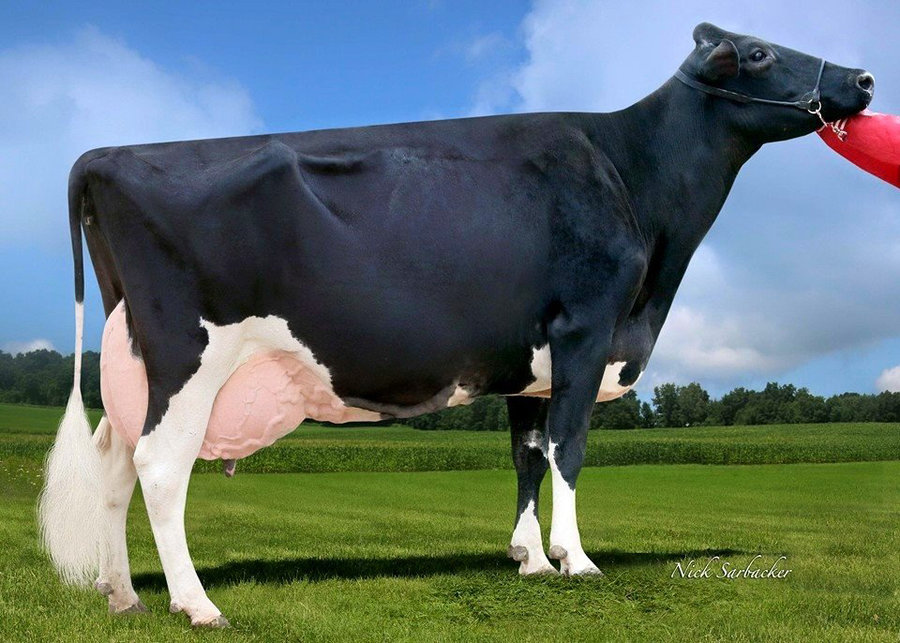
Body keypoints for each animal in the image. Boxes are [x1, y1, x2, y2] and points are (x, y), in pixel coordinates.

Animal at [39, 23, 873, 627]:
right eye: (761, 53)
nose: (864, 79)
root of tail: (105, 154)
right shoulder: (585, 330)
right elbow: (569, 450)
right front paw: (577, 560)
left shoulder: (532, 363)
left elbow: (528, 456)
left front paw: (529, 557)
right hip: (190, 353)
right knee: (159, 466)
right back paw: (196, 602)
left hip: (135, 362)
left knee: (114, 462)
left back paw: (124, 595)